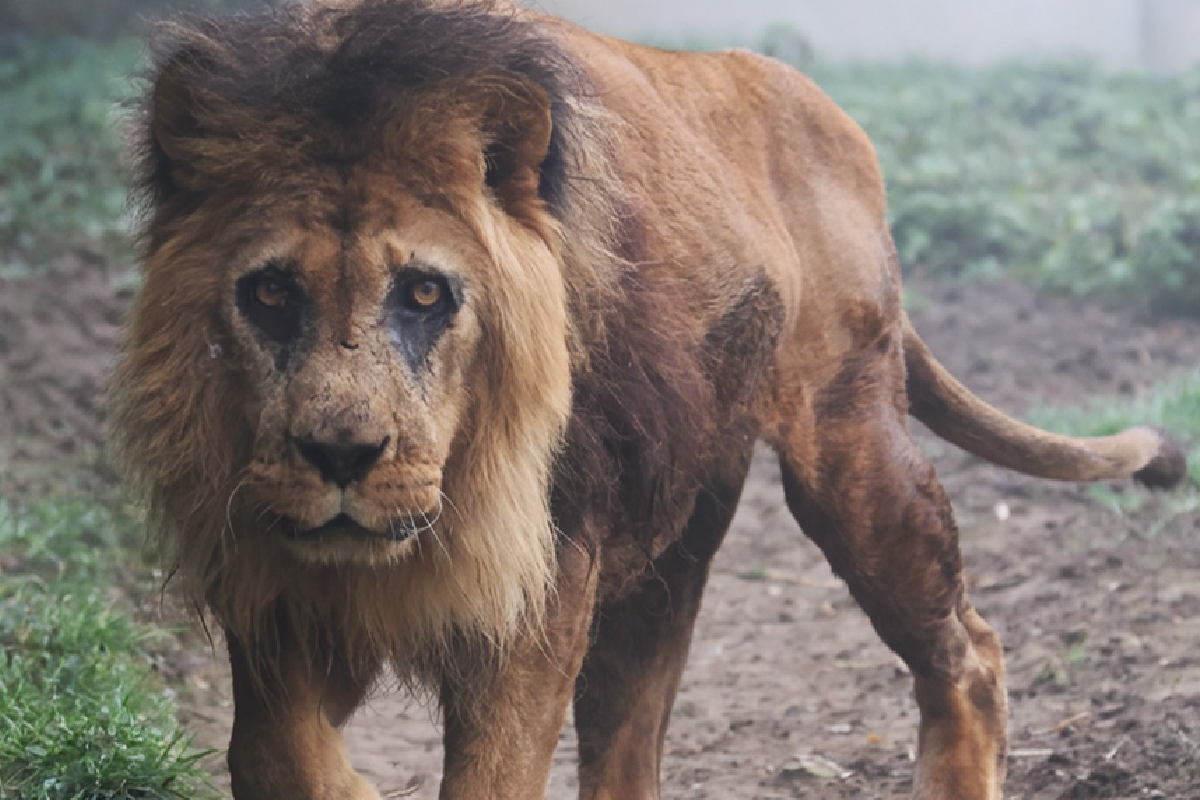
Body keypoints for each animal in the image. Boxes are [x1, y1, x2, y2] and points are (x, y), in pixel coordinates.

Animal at [107, 1, 1186, 798]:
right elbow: (270, 752)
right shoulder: (272, 574)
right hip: (668, 551)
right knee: (630, 747)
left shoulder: (549, 571)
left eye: (423, 294)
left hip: (852, 453)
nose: (341, 456)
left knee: (969, 652)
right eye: (269, 294)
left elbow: (492, 774)